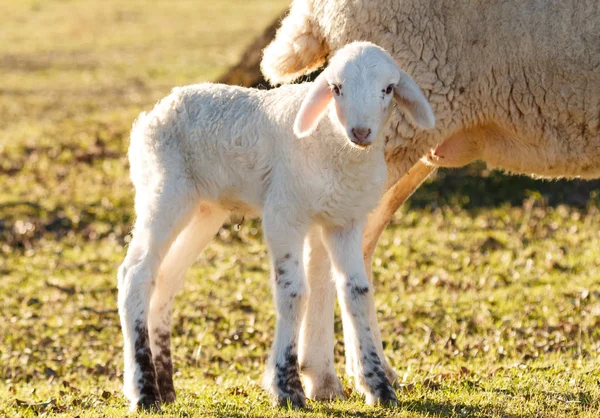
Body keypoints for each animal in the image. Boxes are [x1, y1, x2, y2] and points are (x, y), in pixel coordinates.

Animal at [117, 41, 436, 412]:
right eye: (336, 88)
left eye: (387, 89)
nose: (360, 132)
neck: (333, 142)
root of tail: (154, 112)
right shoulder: (284, 213)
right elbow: (293, 291)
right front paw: (287, 387)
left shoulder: (345, 220)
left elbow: (356, 291)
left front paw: (378, 386)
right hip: (163, 191)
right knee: (135, 274)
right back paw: (144, 391)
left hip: (204, 209)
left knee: (166, 277)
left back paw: (165, 386)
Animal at [262, 0, 600, 402]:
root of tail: (314, 8)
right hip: (386, 123)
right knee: (324, 246)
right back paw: (324, 376)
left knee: (358, 248)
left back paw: (370, 371)